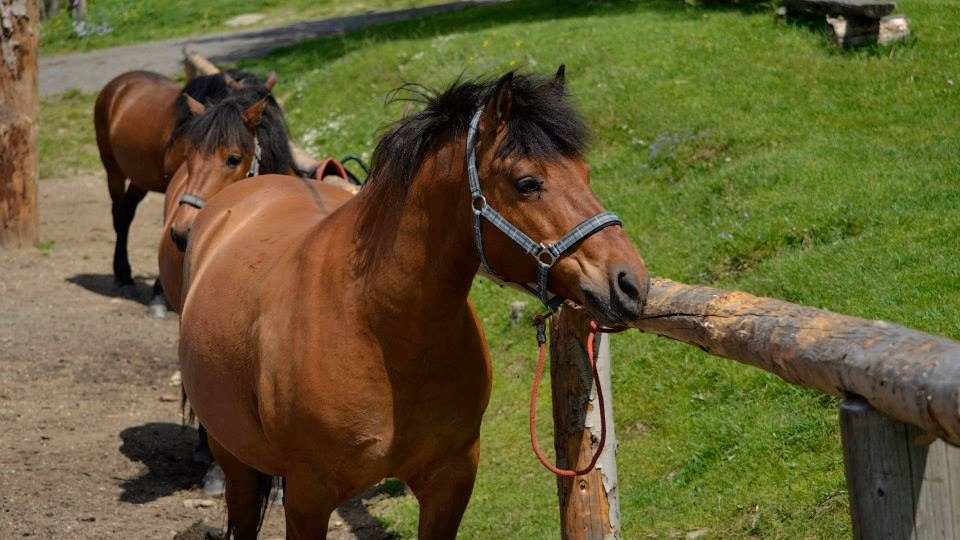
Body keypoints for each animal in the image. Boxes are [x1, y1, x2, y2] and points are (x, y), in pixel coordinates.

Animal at [93, 68, 276, 312]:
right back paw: (123, 277)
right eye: (187, 156)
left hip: (140, 179)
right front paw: (159, 294)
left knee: (128, 211)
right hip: (113, 170)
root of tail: (119, 82)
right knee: (120, 217)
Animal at [176, 66, 648, 536]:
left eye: (585, 172)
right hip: (233, 458)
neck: (378, 327)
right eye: (527, 183)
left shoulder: (451, 480)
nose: (630, 283)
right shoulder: (308, 496)